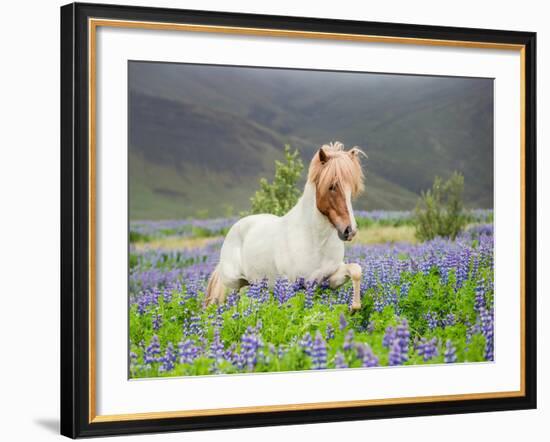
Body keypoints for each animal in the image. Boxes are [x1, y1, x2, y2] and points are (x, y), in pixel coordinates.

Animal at [204, 142, 366, 310]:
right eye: (332, 186)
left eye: (352, 188)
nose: (350, 230)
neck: (316, 242)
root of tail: (235, 228)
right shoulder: (290, 285)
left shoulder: (330, 279)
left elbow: (356, 270)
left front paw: (354, 307)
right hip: (232, 284)